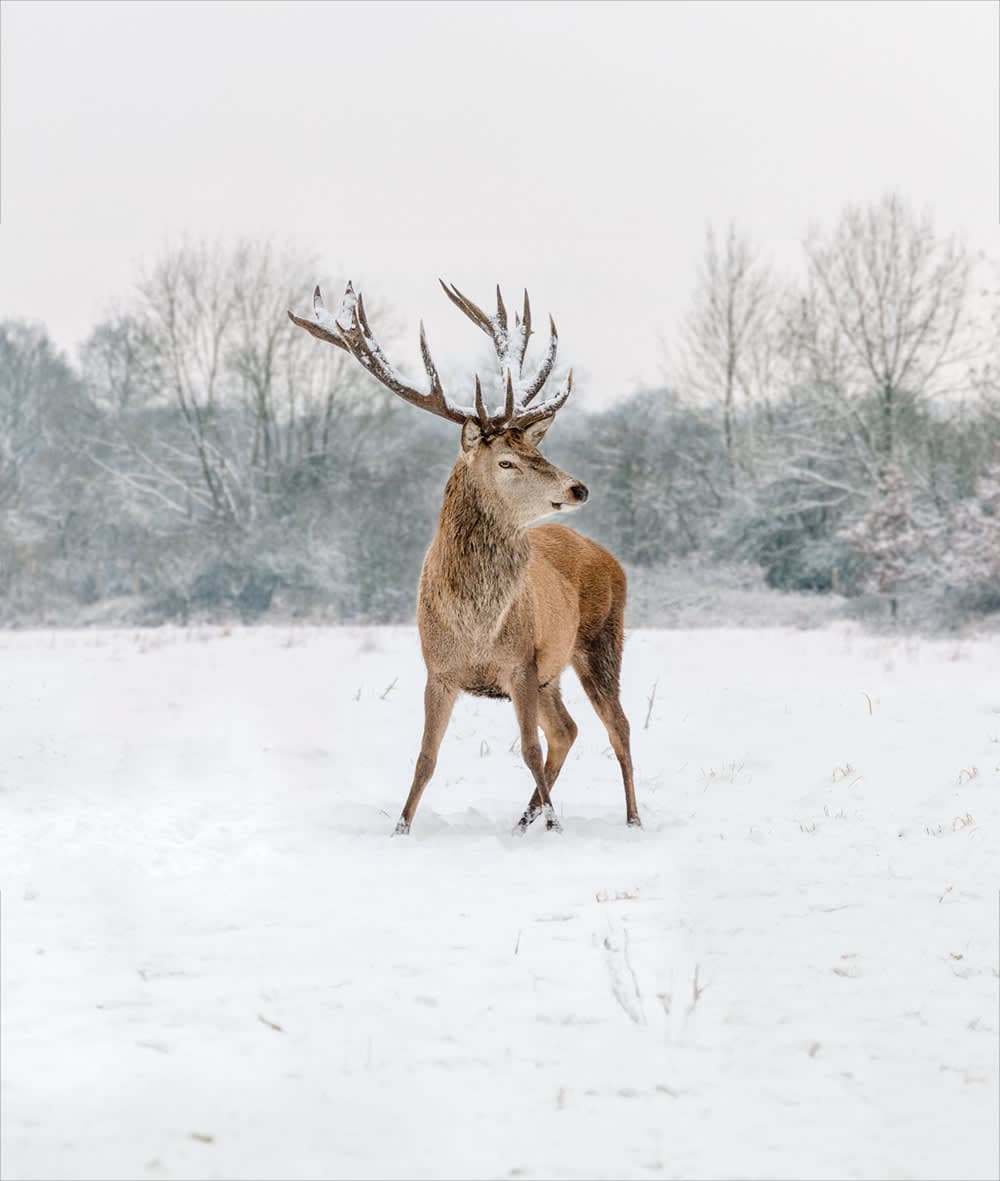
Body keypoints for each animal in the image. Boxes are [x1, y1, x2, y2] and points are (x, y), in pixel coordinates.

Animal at [286, 279, 642, 836]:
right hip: (555, 670)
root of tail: (612, 559)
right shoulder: (439, 670)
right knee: (568, 729)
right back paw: (524, 820)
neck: (475, 625)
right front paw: (400, 829)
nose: (578, 488)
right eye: (507, 461)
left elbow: (528, 749)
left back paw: (629, 819)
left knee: (617, 726)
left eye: (539, 451)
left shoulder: (520, 663)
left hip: (601, 639)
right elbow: (425, 758)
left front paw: (557, 828)